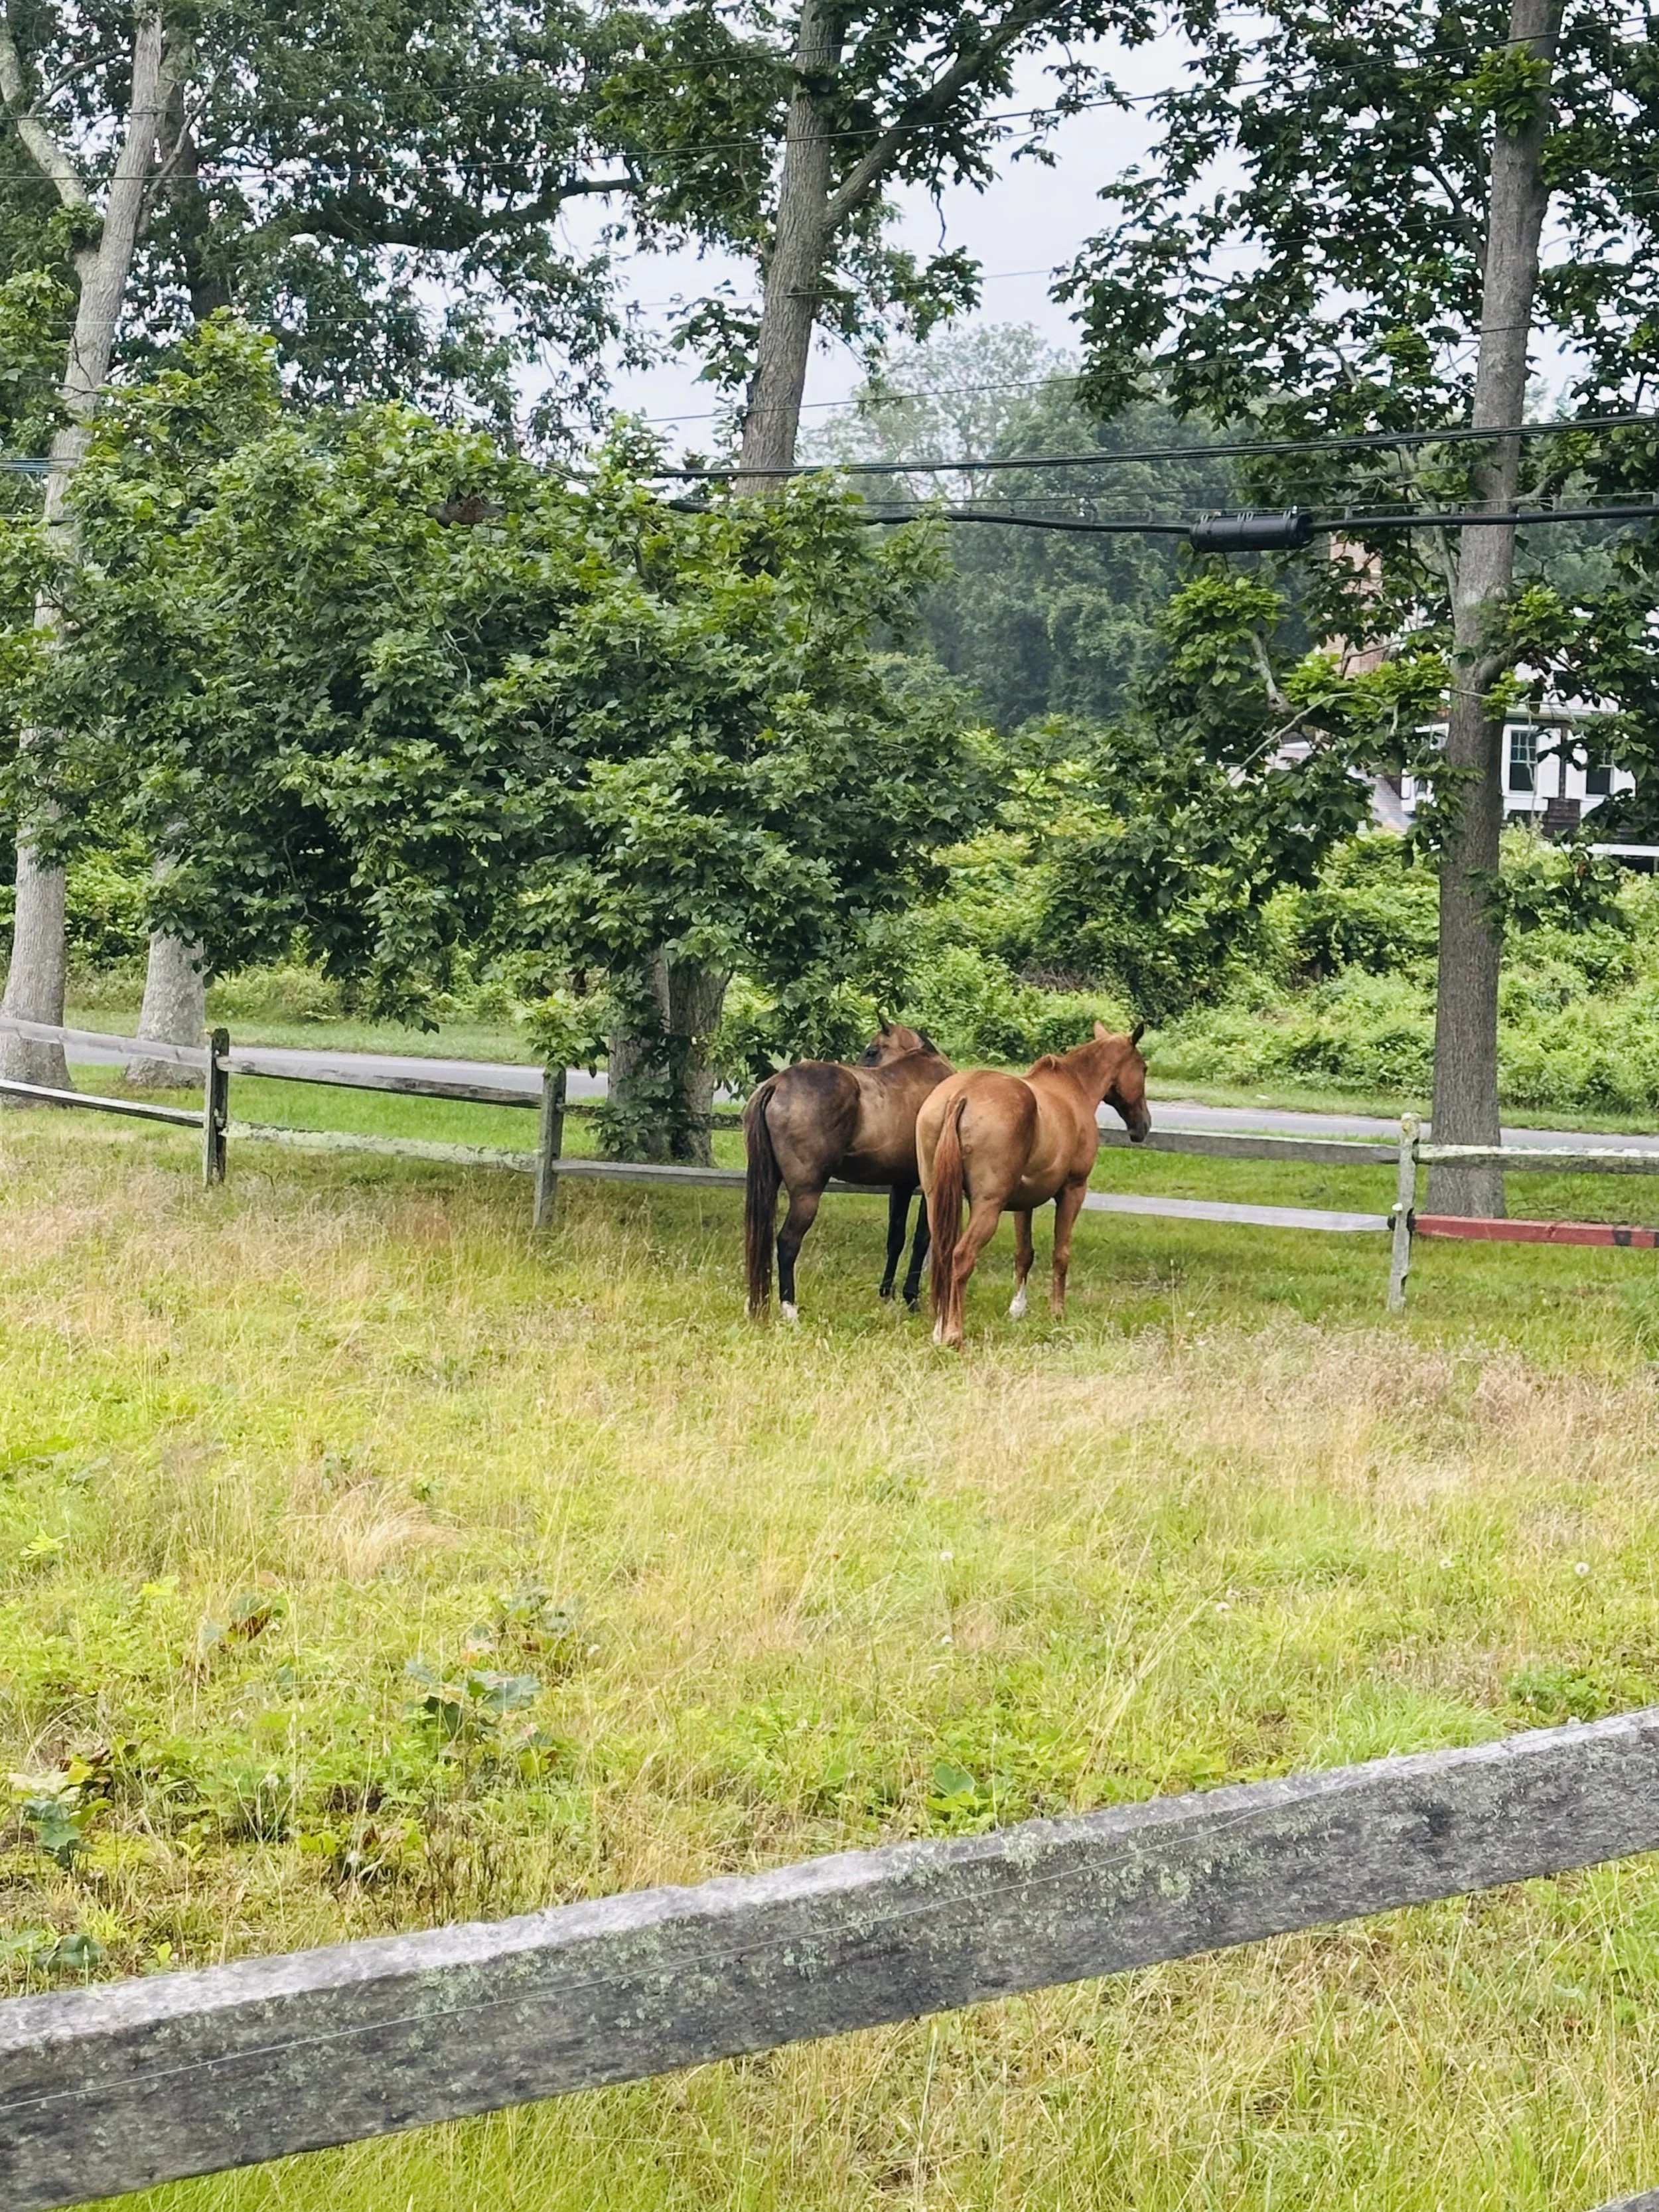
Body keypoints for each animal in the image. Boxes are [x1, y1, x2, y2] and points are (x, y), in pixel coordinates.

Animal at [744, 1021, 953, 1322]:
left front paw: (888, 1295)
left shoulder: (900, 1185)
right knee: (787, 1243)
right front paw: (911, 1298)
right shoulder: (928, 1186)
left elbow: (896, 1239)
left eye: (872, 1051)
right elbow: (923, 1239)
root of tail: (778, 1083)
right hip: (807, 1195)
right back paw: (790, 1310)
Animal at [917, 1022, 1150, 1348]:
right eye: (1144, 1068)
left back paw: (939, 1328)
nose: (1143, 1127)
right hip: (988, 1207)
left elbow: (1024, 1254)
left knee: (942, 1255)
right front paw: (1057, 1312)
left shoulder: (1022, 1203)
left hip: (936, 1199)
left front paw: (1018, 1309)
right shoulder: (1073, 1191)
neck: (1073, 1089)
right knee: (961, 1257)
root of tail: (960, 1096)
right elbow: (1061, 1253)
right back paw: (953, 1333)